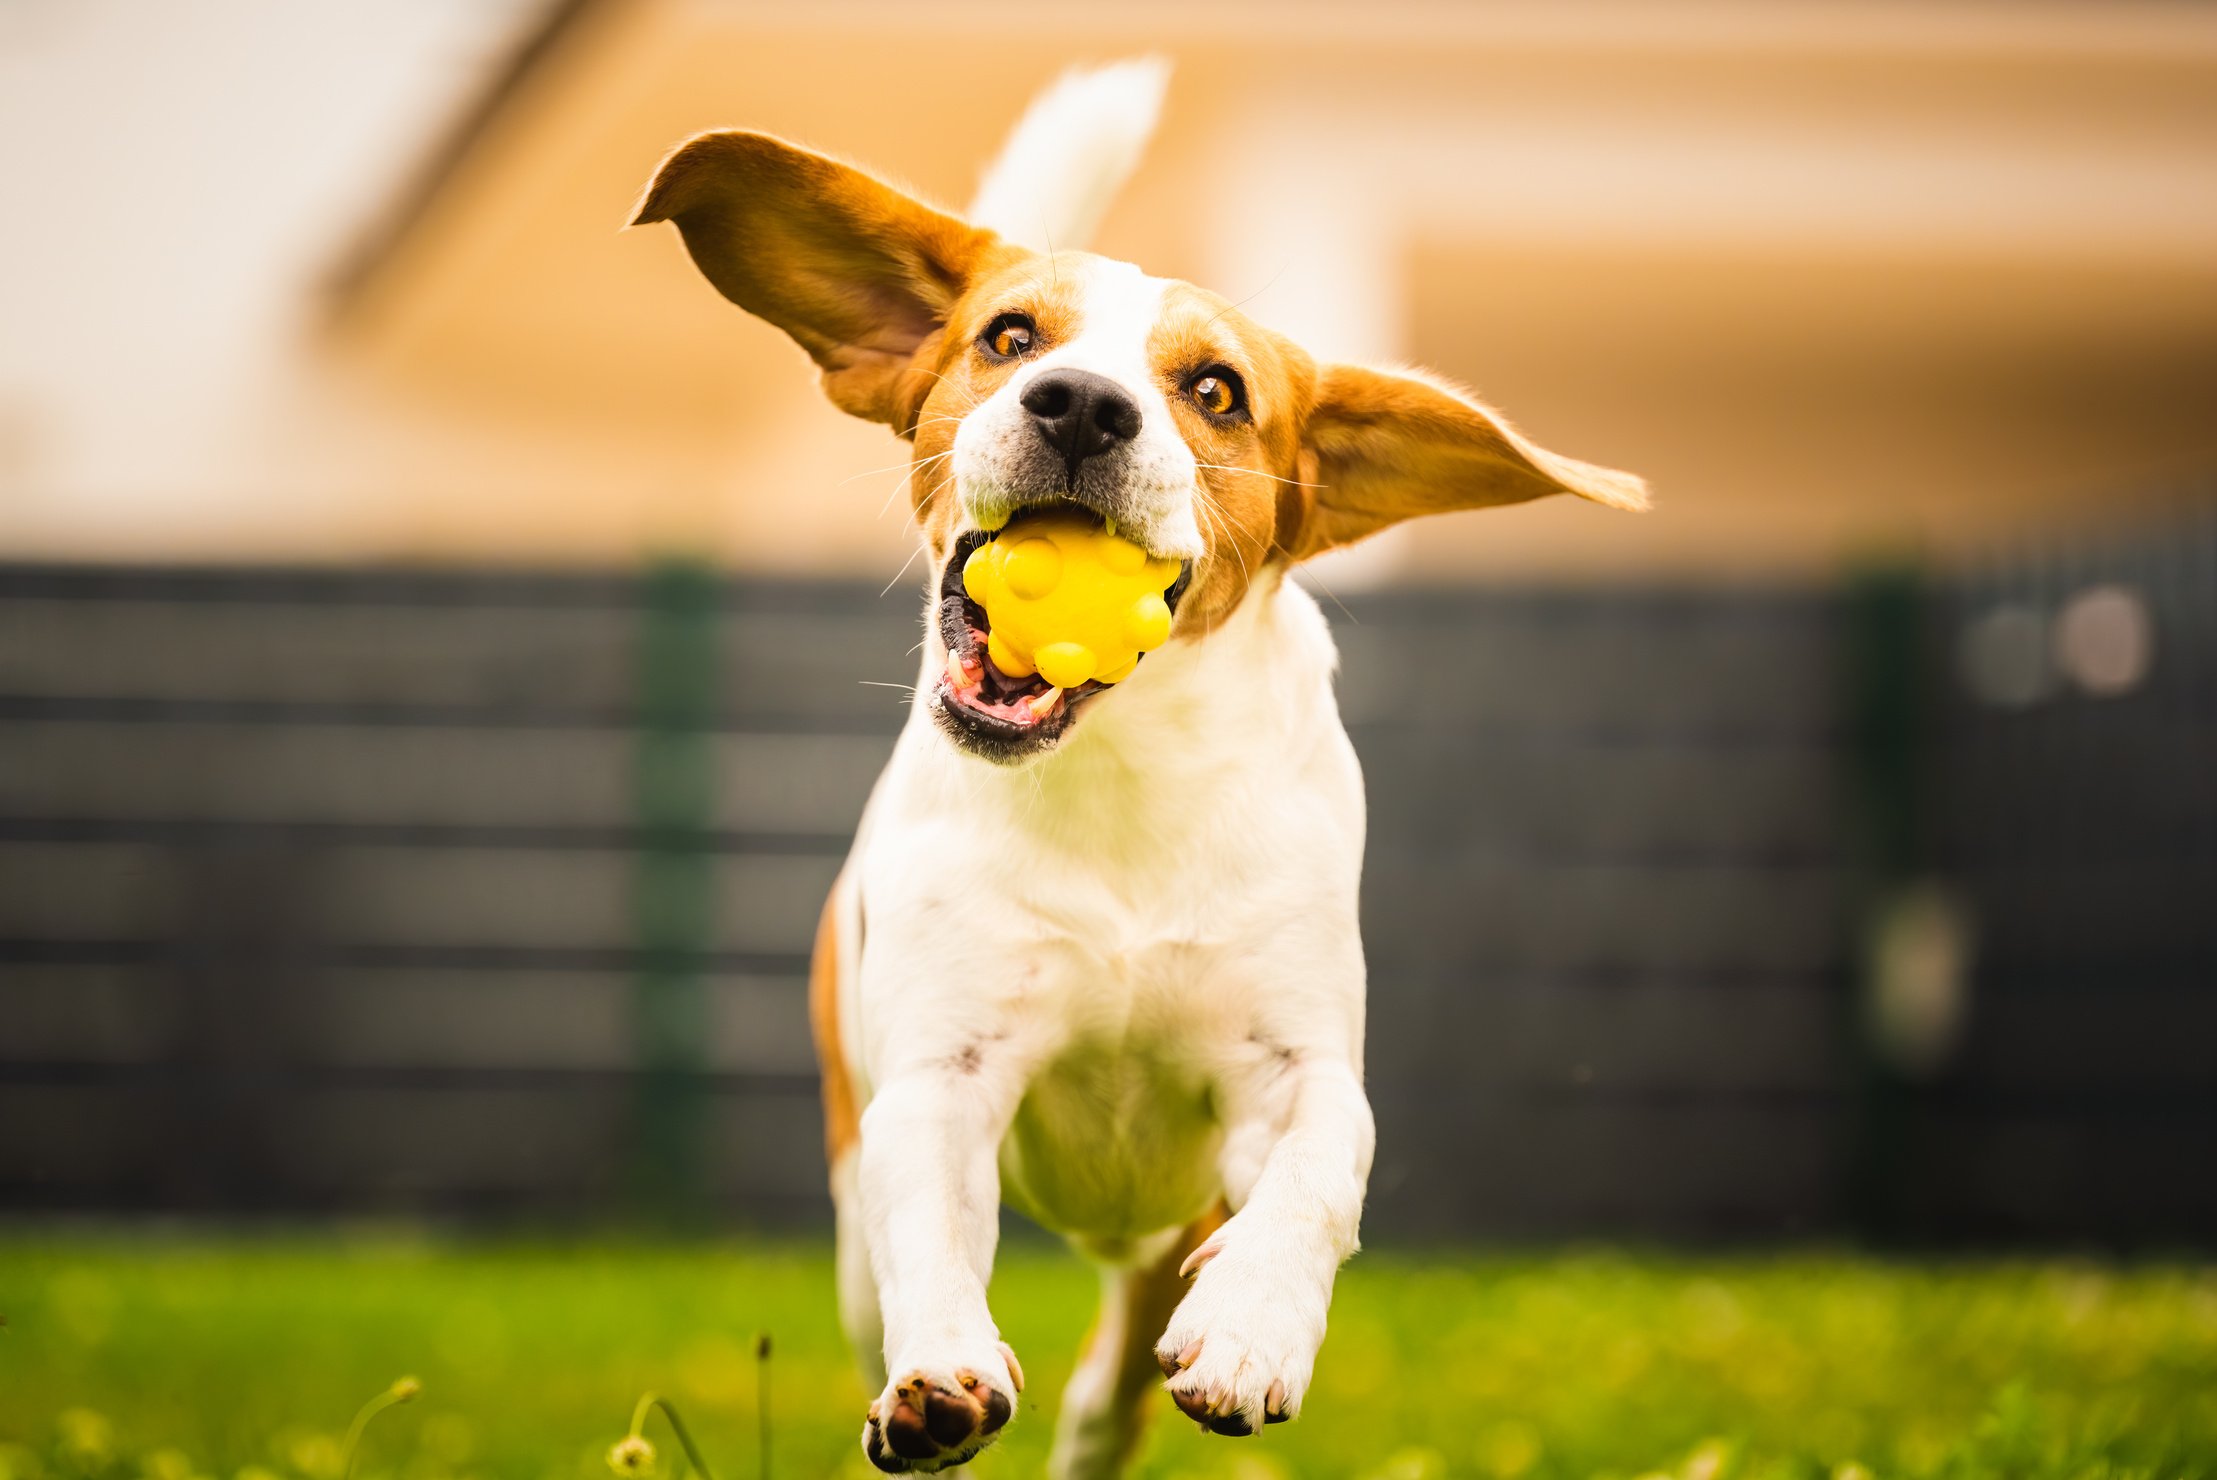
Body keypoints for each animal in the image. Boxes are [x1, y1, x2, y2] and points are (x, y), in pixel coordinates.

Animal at [634, 60, 1640, 1480]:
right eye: (1011, 337)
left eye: (1214, 390)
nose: (1081, 402)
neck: (1119, 780)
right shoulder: (938, 1080)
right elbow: (929, 1228)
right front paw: (940, 1375)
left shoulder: (1296, 1069)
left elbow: (1318, 1172)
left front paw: (1255, 1331)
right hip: (851, 1225)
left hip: (1168, 1226)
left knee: (1117, 1375)